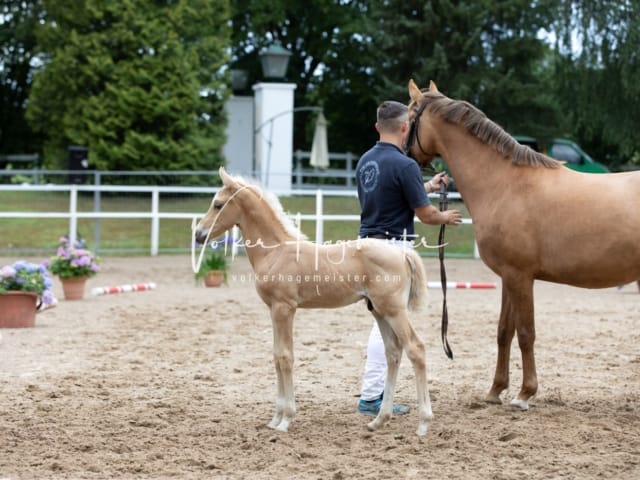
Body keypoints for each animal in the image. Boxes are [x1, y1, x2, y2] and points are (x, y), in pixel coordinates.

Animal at [195, 167, 436, 436]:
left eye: (218, 204)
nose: (199, 234)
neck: (275, 251)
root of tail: (401, 253)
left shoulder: (284, 308)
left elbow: (285, 357)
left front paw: (286, 419)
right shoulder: (273, 310)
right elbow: (276, 356)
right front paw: (275, 419)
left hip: (394, 310)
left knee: (416, 348)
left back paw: (424, 423)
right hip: (379, 310)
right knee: (393, 352)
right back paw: (379, 419)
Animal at [404, 80, 640, 410]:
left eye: (409, 115)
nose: (401, 153)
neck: (505, 184)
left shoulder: (521, 276)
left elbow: (526, 333)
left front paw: (524, 393)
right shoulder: (508, 277)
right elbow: (504, 332)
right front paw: (495, 391)